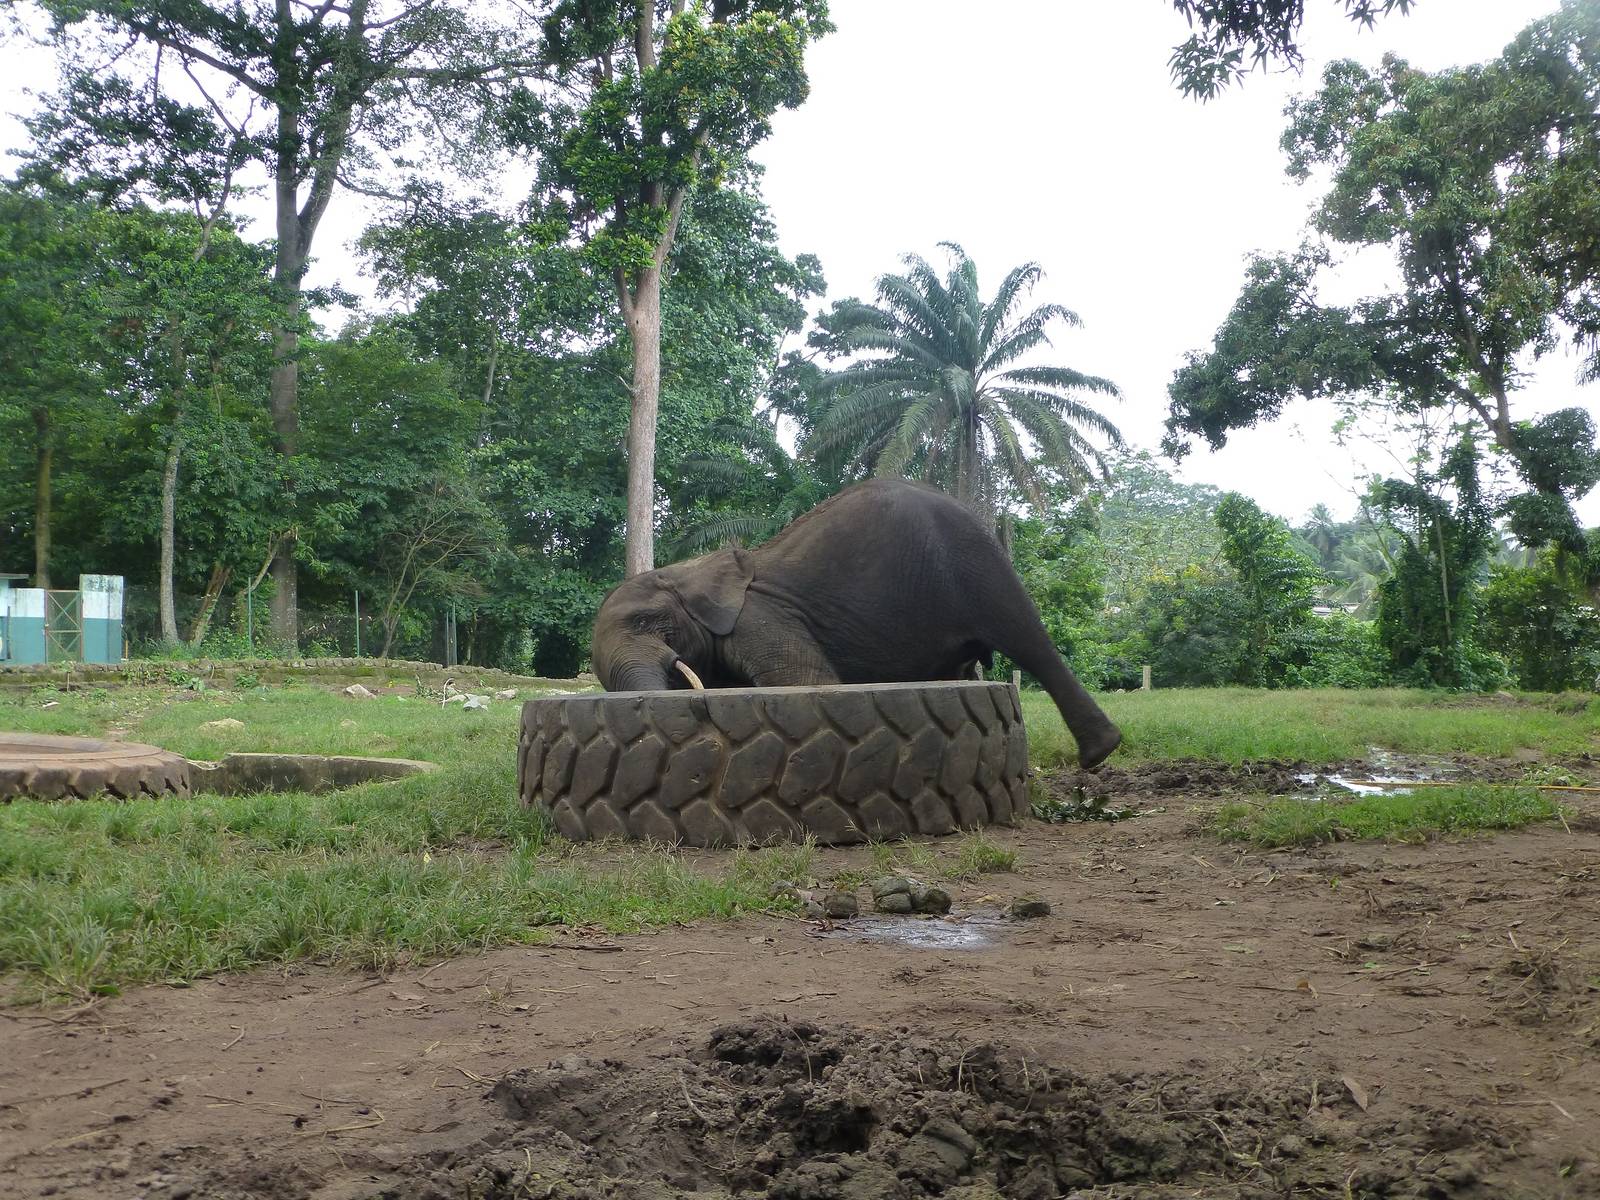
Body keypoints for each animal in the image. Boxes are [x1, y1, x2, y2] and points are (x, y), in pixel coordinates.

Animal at [590, 477, 1122, 768]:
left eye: (648, 621)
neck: (689, 568)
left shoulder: (762, 619)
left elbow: (805, 682)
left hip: (977, 564)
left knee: (1028, 640)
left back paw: (1099, 754)